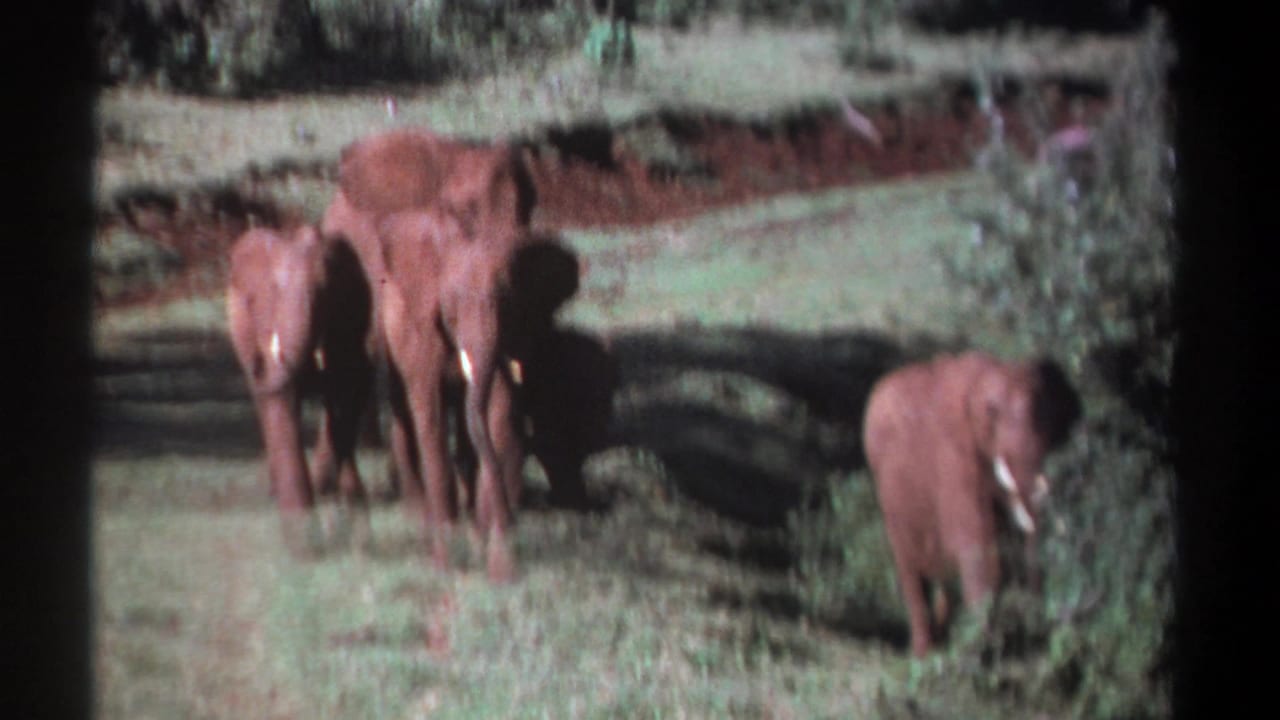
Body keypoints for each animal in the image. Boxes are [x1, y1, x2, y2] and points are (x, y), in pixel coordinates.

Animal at [376, 206, 580, 582]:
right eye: (453, 305)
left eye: (508, 302)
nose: (510, 523)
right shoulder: (423, 327)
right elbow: (430, 413)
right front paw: (445, 561)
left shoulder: (516, 332)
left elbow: (500, 407)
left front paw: (499, 567)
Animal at [861, 351, 1081, 656]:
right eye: (992, 413)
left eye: (1045, 413)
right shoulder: (954, 456)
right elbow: (977, 547)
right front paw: (986, 649)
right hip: (886, 490)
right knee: (911, 573)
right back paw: (924, 654)